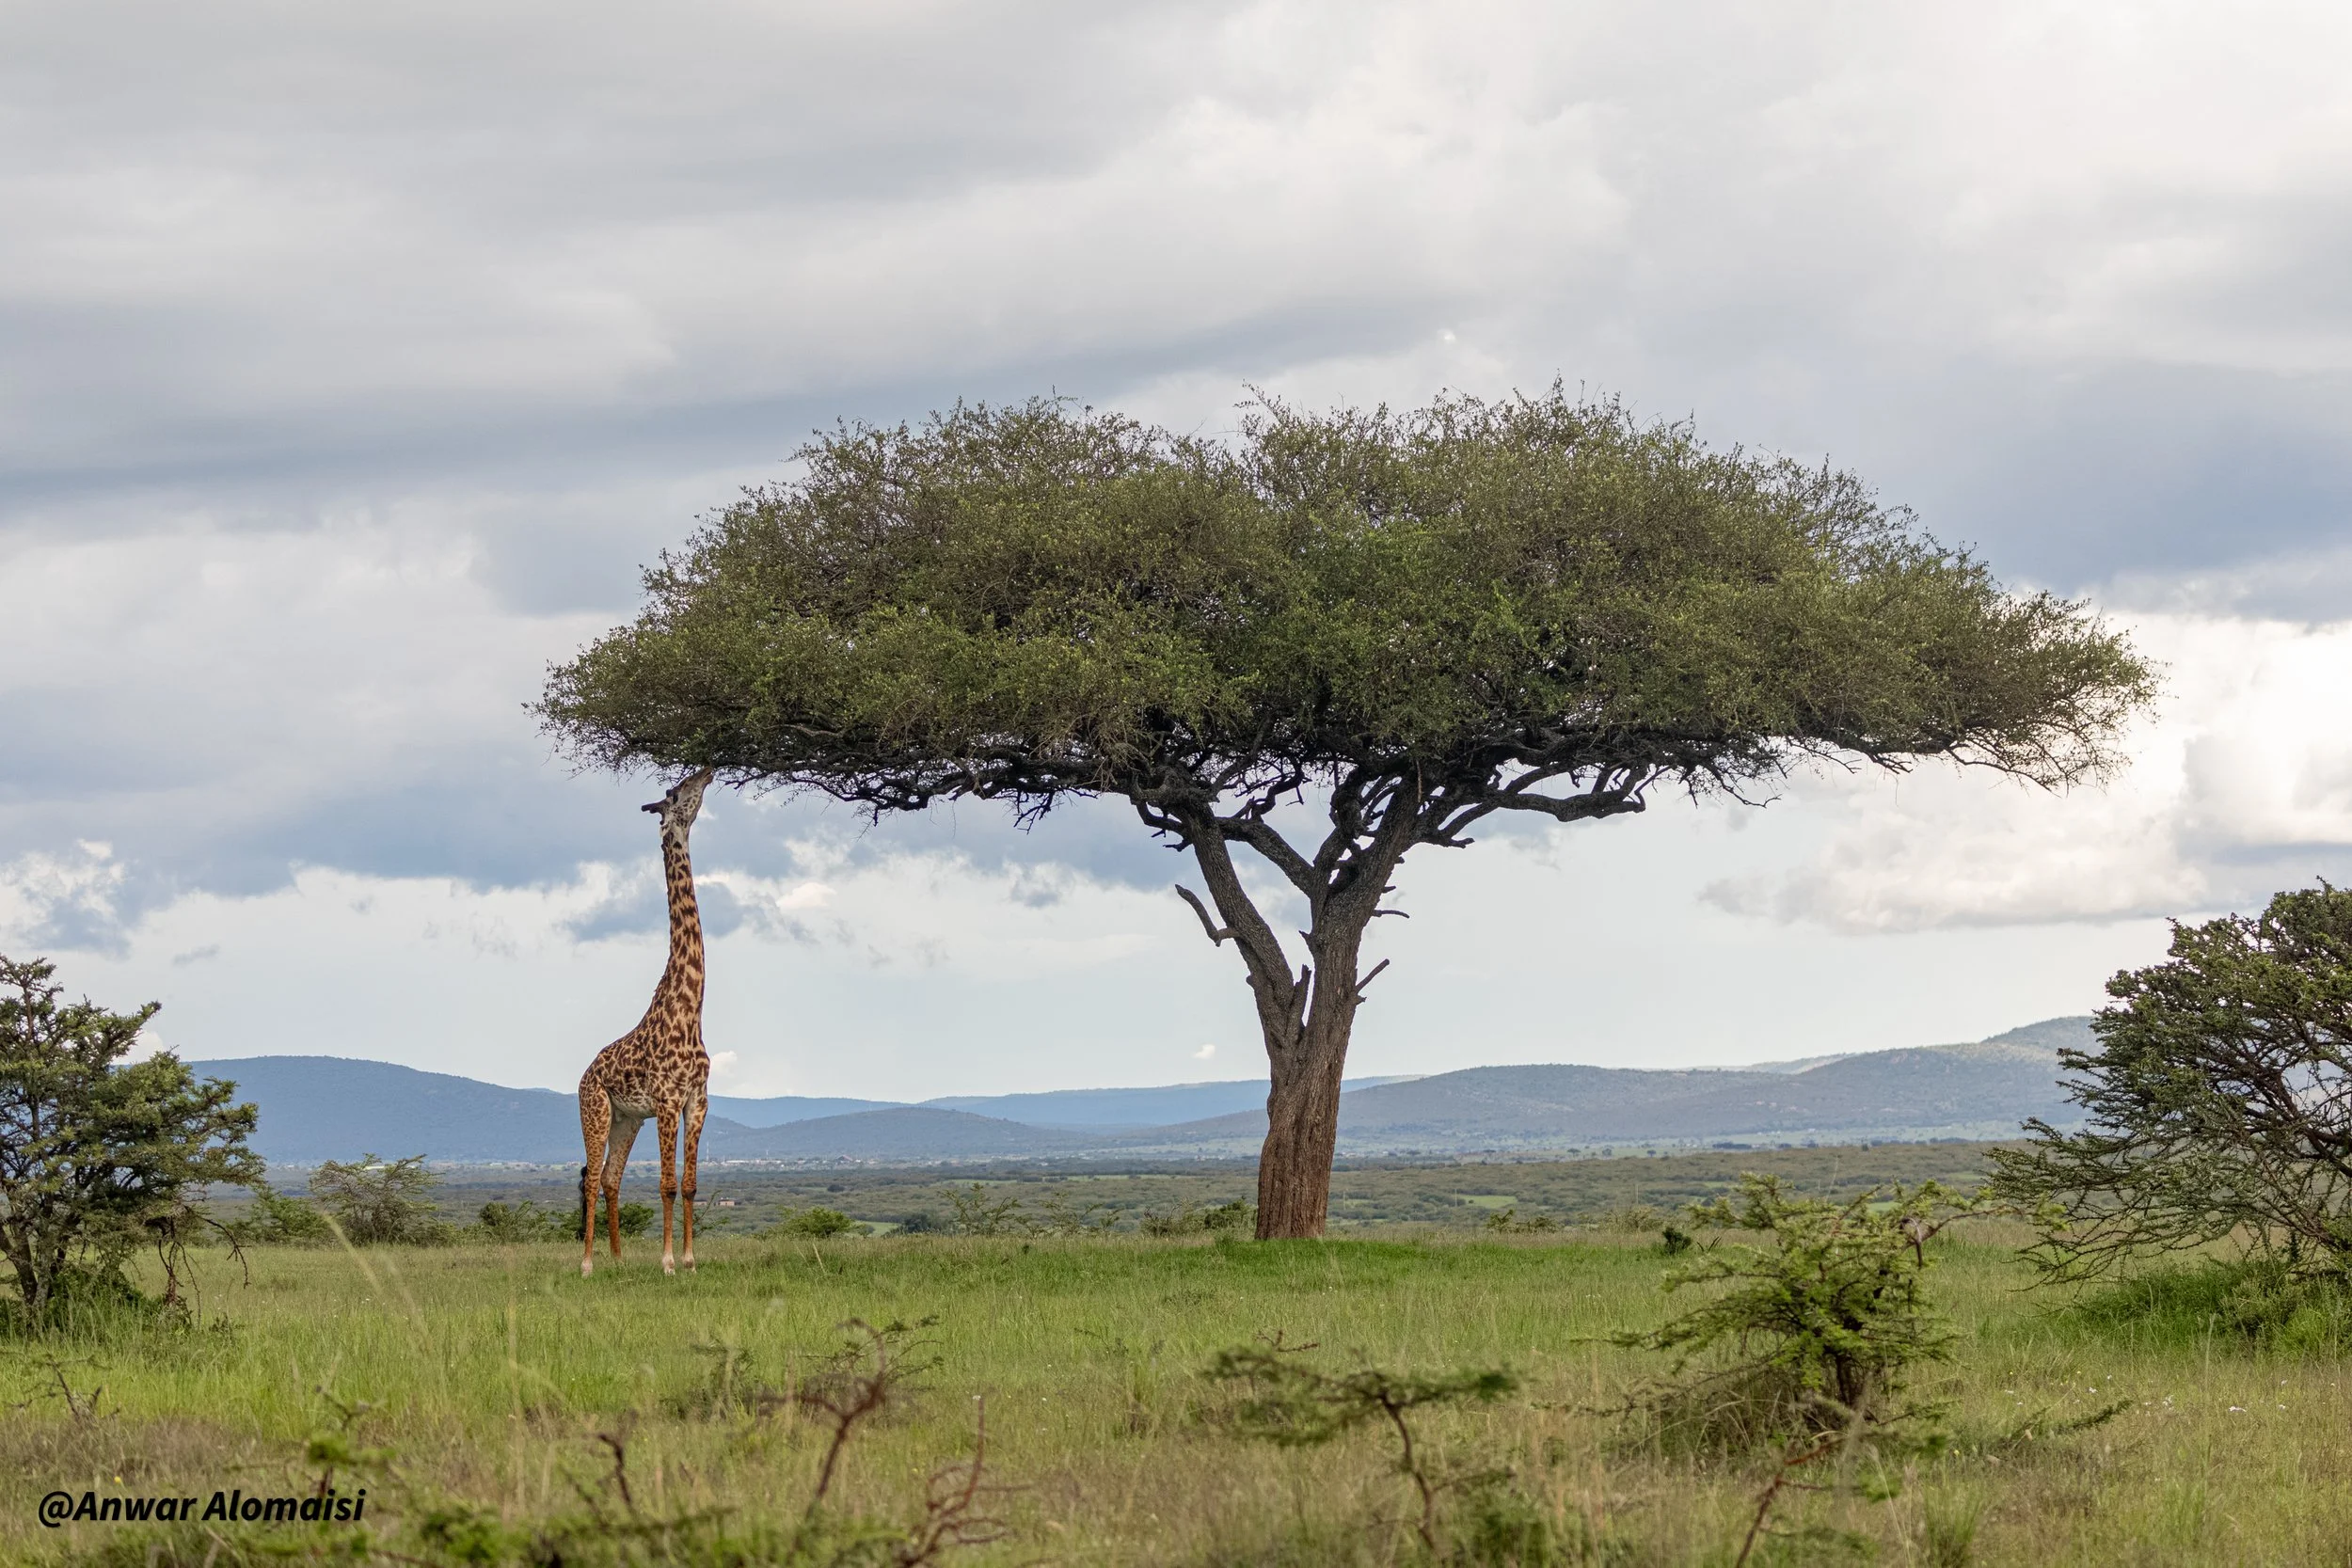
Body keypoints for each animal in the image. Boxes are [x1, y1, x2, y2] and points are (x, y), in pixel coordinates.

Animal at [578, 767, 715, 1277]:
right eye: (676, 793)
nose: (708, 769)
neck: (691, 1009)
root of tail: (585, 1073)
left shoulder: (697, 1100)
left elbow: (690, 1183)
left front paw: (692, 1260)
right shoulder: (667, 1100)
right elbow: (667, 1185)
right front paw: (669, 1261)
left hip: (627, 1120)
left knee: (611, 1178)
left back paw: (618, 1261)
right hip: (595, 1110)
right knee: (591, 1178)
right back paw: (587, 1264)